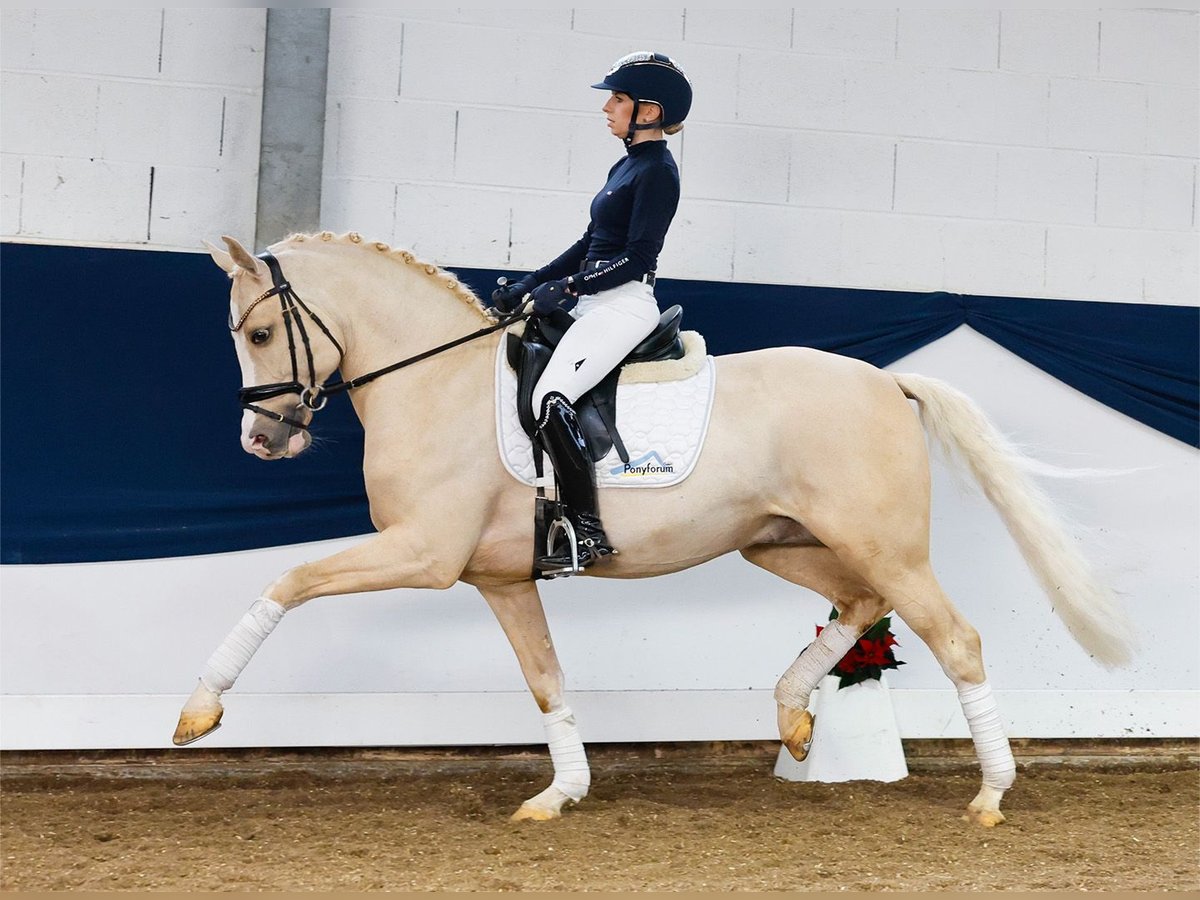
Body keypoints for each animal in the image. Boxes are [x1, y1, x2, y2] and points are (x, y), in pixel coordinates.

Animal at [175, 230, 1132, 825]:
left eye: (260, 333)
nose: (263, 441)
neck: (435, 383)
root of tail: (887, 382)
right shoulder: (501, 577)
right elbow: (546, 681)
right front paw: (559, 795)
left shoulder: (424, 553)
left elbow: (288, 581)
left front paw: (198, 709)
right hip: (782, 541)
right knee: (859, 607)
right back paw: (793, 719)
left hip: (884, 546)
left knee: (956, 638)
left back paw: (992, 795)